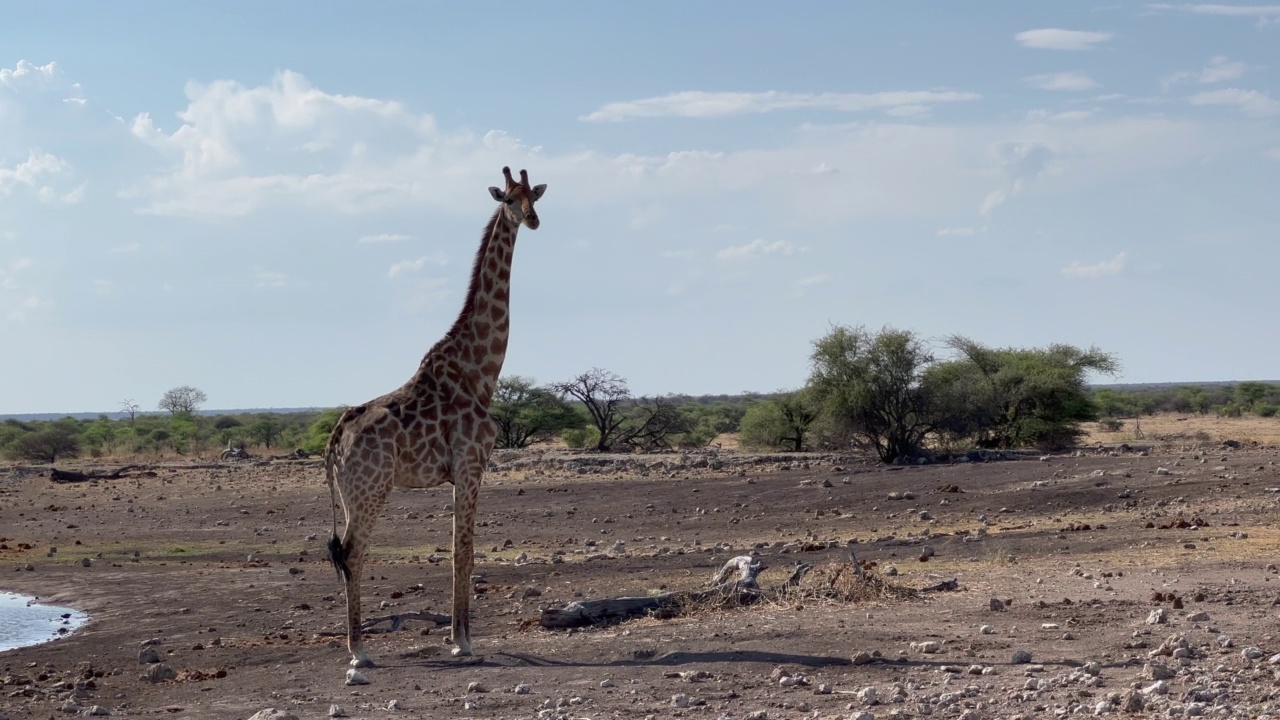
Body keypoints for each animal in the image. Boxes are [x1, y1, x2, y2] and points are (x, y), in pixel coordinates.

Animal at [325, 165, 545, 666]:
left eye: (535, 196)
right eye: (508, 198)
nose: (533, 219)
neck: (481, 371)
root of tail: (335, 438)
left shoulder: (462, 471)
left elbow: (459, 550)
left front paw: (458, 637)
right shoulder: (471, 465)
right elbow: (463, 551)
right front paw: (463, 641)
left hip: (350, 494)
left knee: (342, 554)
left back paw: (357, 645)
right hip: (371, 490)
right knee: (353, 554)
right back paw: (358, 651)